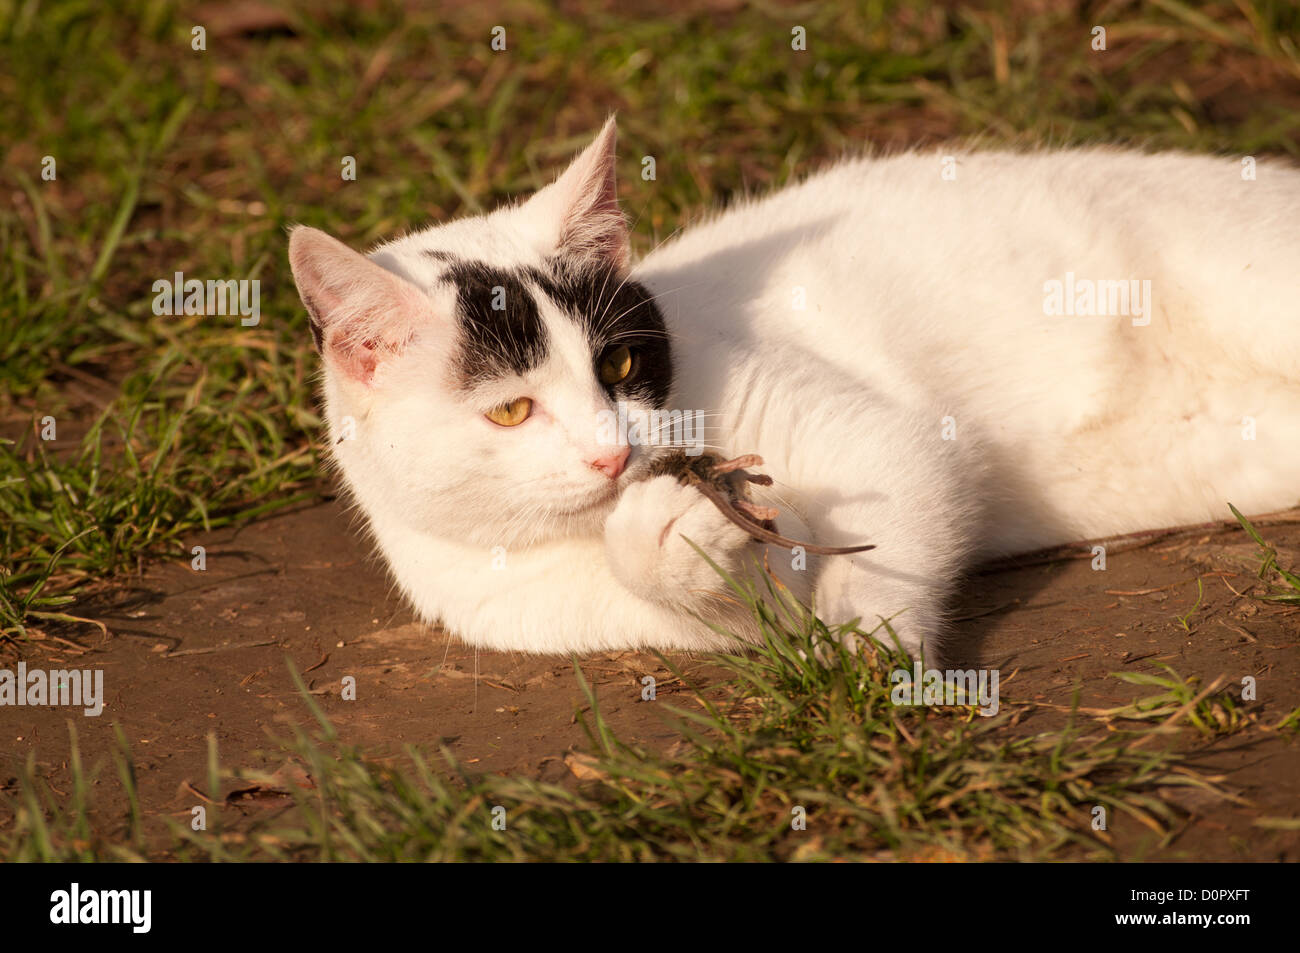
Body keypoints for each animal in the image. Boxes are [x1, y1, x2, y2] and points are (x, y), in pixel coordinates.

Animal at [287, 117, 1300, 660]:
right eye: (510, 409)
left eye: (618, 367)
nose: (615, 454)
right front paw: (674, 532)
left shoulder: (883, 440)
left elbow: (893, 522)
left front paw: (875, 653)